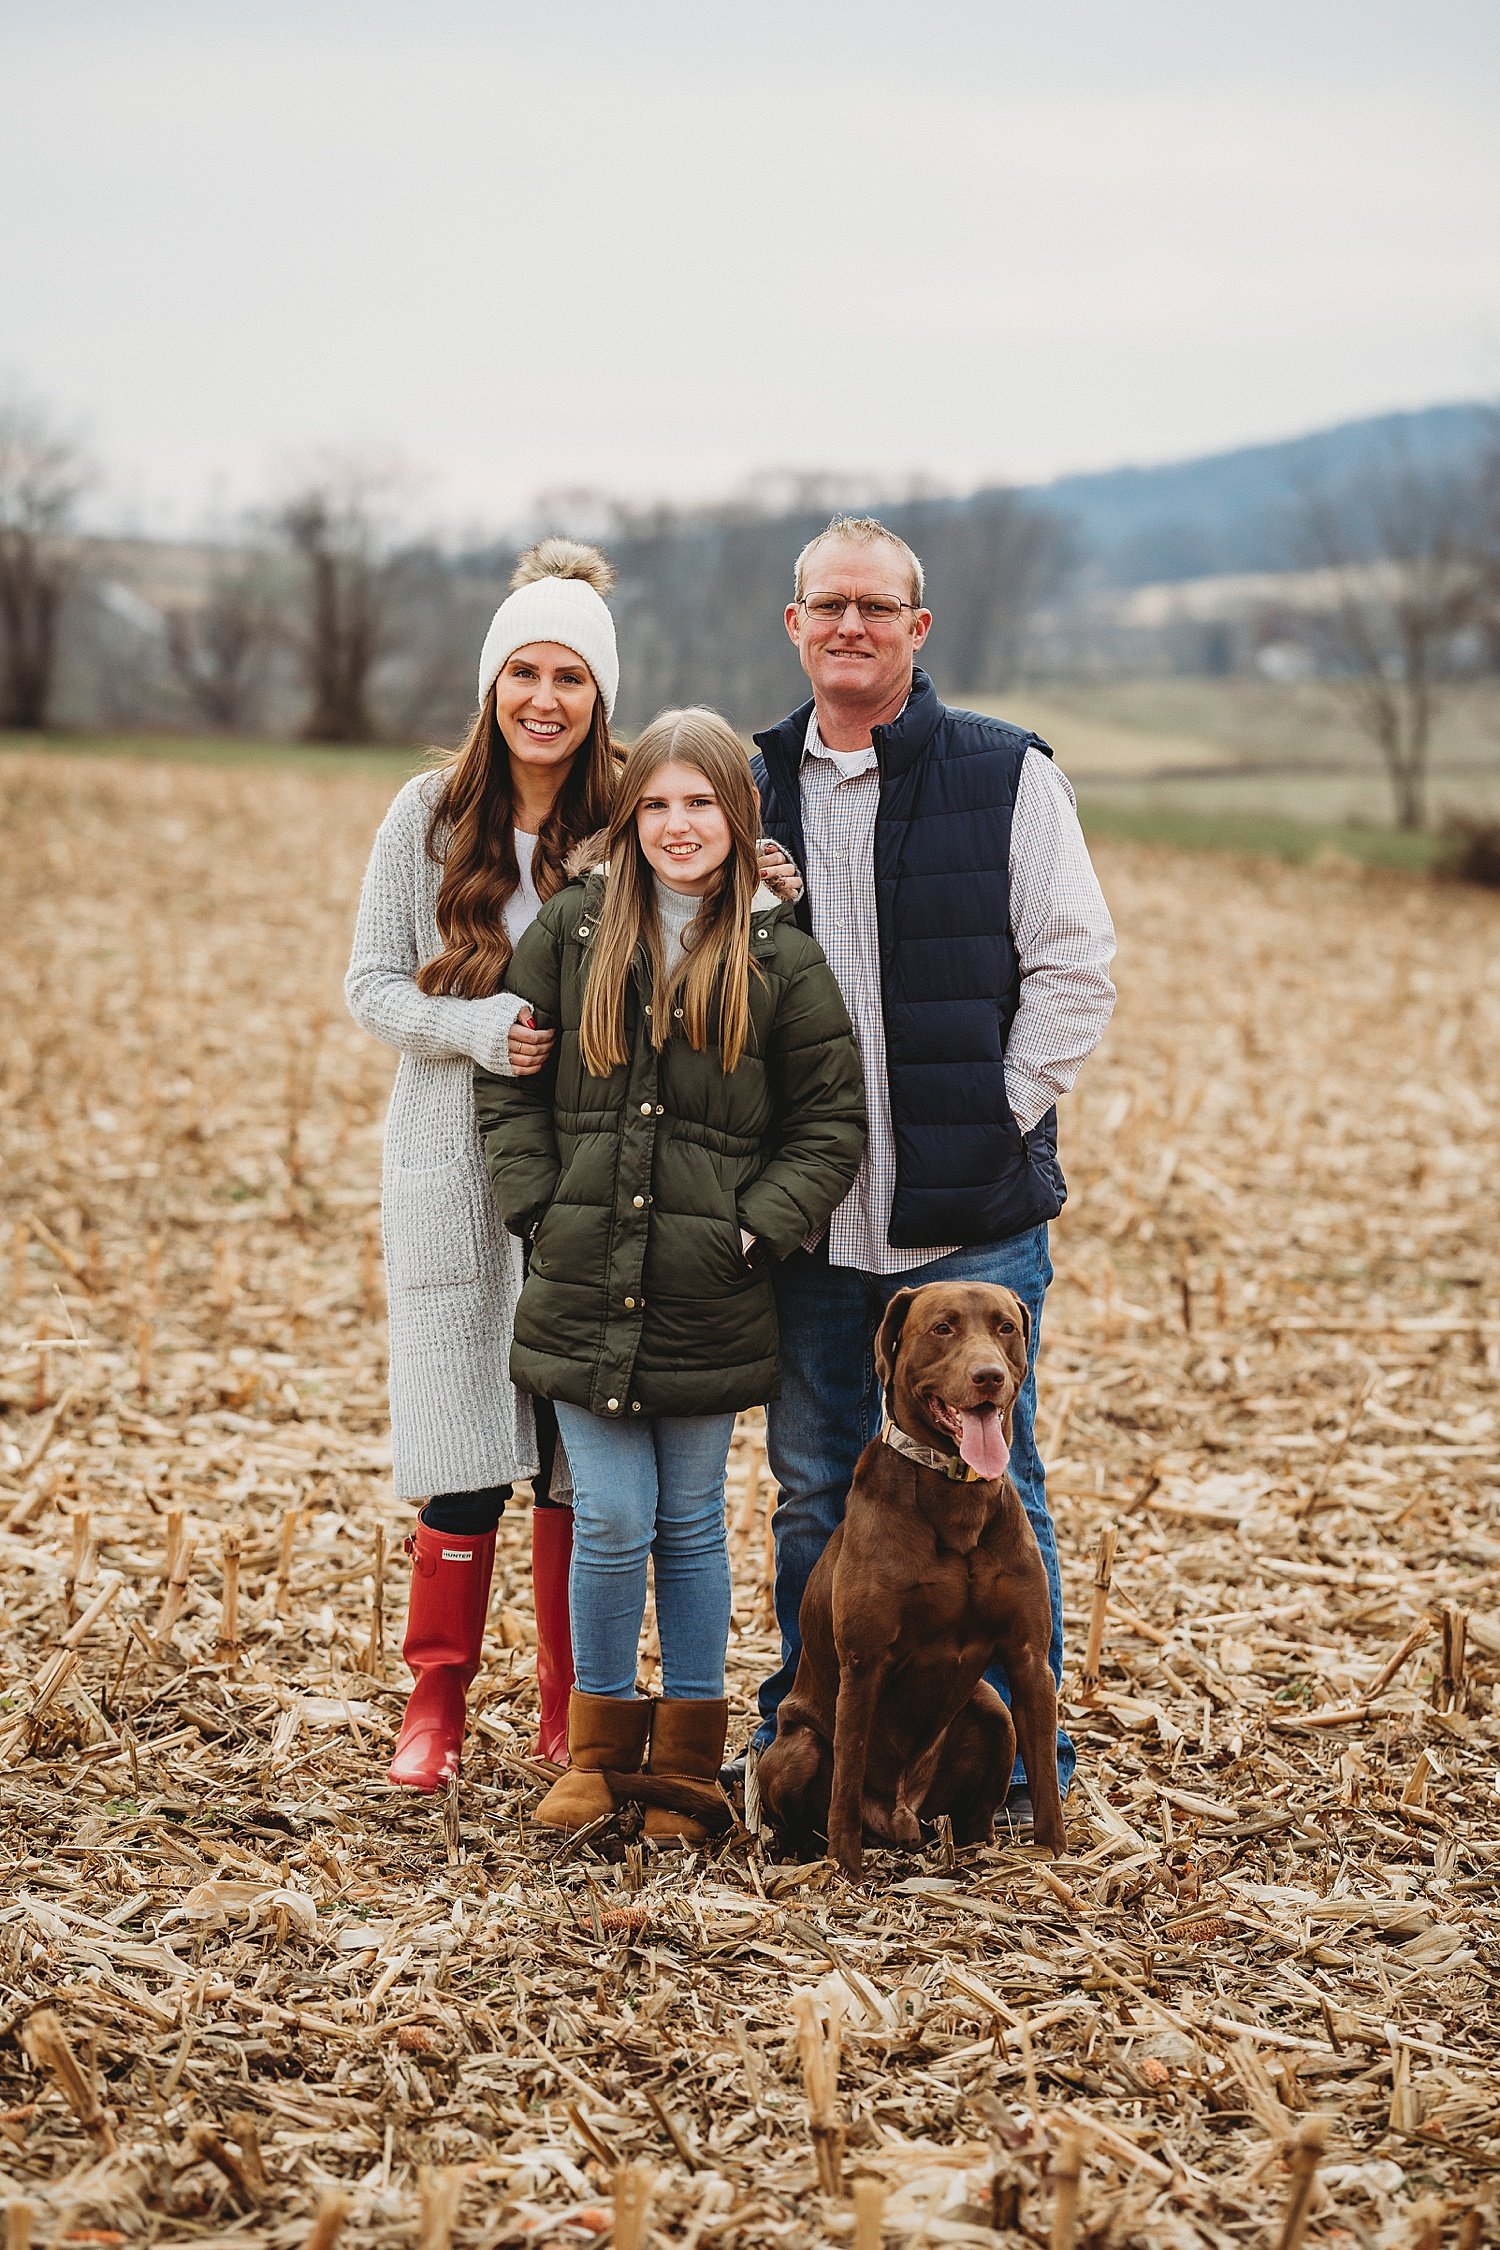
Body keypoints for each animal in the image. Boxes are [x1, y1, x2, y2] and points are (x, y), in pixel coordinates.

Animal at [764, 1287, 1065, 1881]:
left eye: (1005, 1327)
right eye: (942, 1328)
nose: (989, 1376)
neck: (956, 1493)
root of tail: (900, 1816)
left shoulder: (1028, 1657)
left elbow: (1044, 1777)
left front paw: (1062, 1863)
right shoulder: (864, 1663)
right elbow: (847, 1780)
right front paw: (846, 1874)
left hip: (993, 1712)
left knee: (975, 1816)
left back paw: (976, 1855)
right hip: (799, 1747)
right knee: (811, 1803)